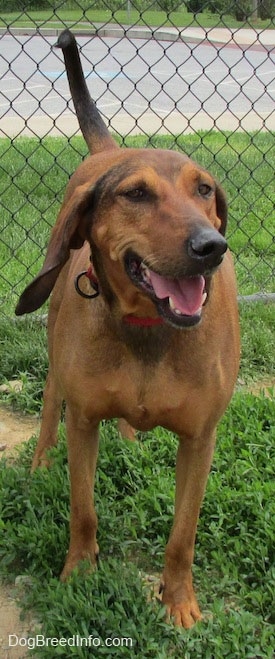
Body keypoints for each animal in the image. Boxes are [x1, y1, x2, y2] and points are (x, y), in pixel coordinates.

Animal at [15, 29, 239, 628]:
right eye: (135, 194)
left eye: (205, 190)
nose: (212, 246)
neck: (146, 327)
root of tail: (108, 151)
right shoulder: (83, 422)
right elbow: (83, 510)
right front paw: (79, 572)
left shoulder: (200, 439)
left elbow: (183, 536)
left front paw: (179, 601)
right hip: (54, 334)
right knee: (51, 395)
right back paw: (42, 458)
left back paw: (132, 440)